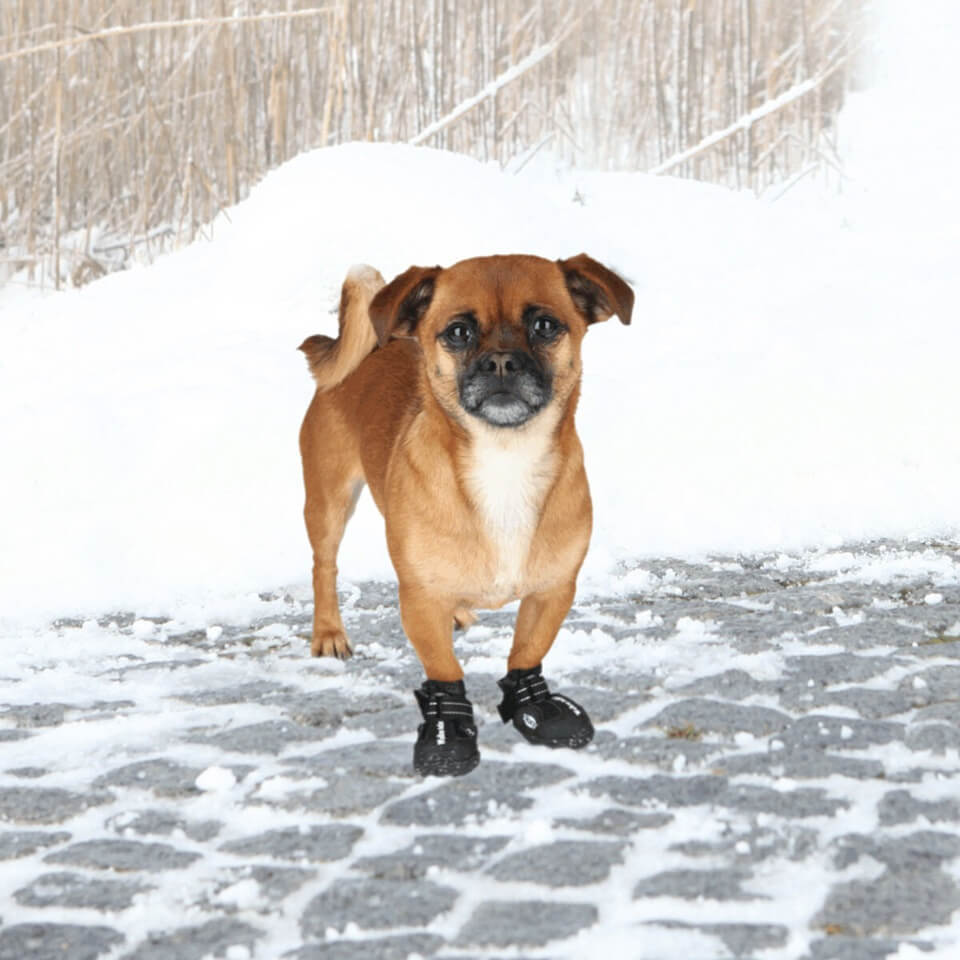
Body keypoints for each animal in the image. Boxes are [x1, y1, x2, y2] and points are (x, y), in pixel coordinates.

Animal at [296, 253, 632, 772]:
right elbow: (443, 667)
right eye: (458, 332)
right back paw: (329, 632)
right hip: (329, 502)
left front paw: (534, 707)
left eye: (545, 325)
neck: (504, 457)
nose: (501, 360)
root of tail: (372, 346)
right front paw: (447, 731)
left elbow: (526, 652)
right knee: (324, 567)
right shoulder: (418, 600)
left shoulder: (552, 592)